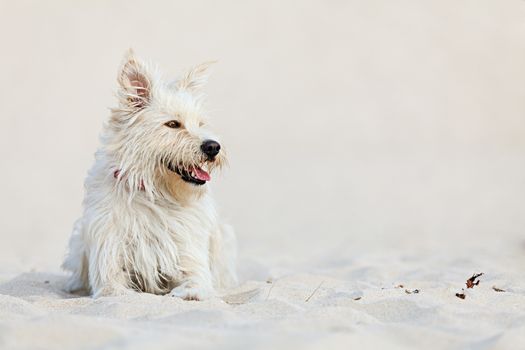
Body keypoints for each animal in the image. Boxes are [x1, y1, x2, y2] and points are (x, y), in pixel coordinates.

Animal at [59, 50, 237, 300]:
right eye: (173, 124)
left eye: (201, 123)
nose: (213, 147)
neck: (156, 194)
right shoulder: (109, 267)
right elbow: (115, 290)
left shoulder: (191, 261)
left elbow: (195, 284)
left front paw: (188, 293)